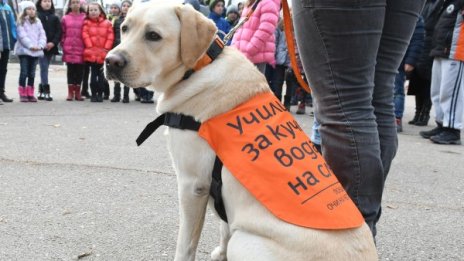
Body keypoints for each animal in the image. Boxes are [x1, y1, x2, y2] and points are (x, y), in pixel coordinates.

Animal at [107, 2, 378, 260]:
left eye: (153, 35)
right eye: (124, 28)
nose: (111, 61)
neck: (198, 68)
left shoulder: (193, 185)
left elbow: (185, 244)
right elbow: (224, 226)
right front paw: (220, 253)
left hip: (245, 240)